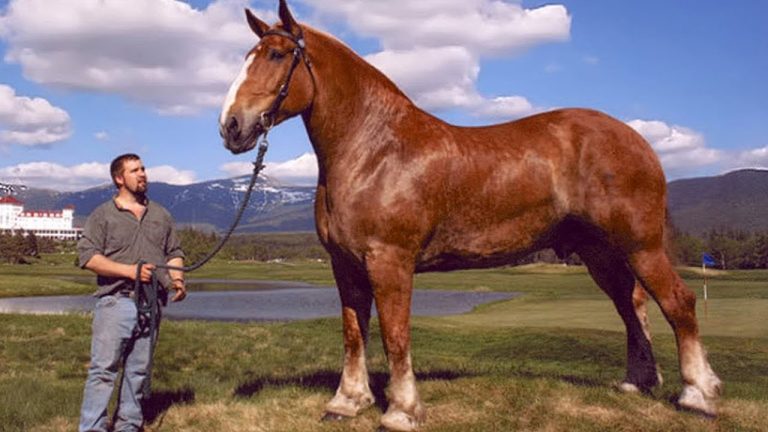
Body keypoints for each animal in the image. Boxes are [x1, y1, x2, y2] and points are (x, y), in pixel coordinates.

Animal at [219, 1, 721, 430]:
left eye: (277, 55)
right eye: (247, 56)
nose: (231, 126)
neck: (375, 149)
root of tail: (638, 141)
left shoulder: (390, 262)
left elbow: (395, 334)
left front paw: (402, 410)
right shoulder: (345, 265)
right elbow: (353, 333)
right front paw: (347, 403)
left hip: (642, 245)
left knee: (678, 303)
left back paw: (698, 394)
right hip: (600, 253)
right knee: (630, 304)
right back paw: (638, 382)